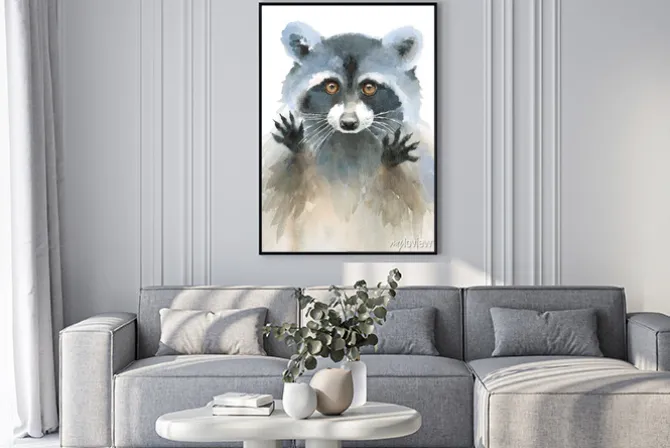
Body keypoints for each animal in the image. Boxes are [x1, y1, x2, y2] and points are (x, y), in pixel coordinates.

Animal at [262, 22, 435, 252]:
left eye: (369, 87)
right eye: (331, 86)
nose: (349, 123)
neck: (350, 139)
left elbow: (389, 203)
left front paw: (389, 162)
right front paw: (298, 148)